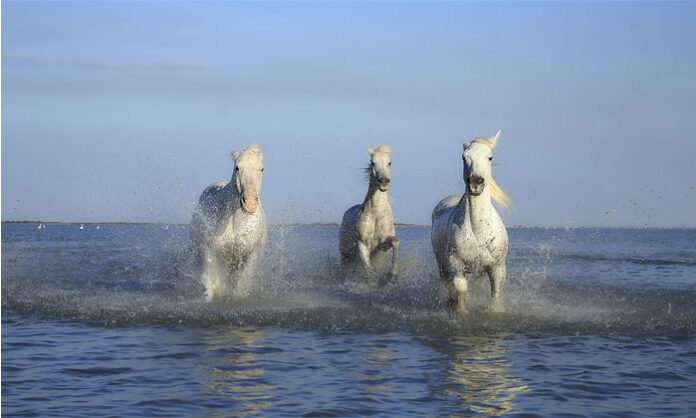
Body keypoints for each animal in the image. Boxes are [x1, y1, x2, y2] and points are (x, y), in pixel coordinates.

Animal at [190, 145, 267, 301]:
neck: (235, 221)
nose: (249, 203)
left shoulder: (251, 254)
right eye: (237, 167)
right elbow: (214, 284)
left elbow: (241, 286)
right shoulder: (211, 252)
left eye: (261, 169)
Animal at [339, 145, 399, 280]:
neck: (376, 213)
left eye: (389, 162)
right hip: (345, 254)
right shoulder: (362, 244)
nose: (383, 181)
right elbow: (368, 269)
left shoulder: (381, 246)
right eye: (373, 162)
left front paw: (392, 274)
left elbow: (395, 241)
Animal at [431, 130, 512, 312]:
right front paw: (461, 311)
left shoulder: (497, 268)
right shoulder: (455, 264)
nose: (475, 182)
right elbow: (460, 288)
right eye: (464, 157)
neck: (478, 229)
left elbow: (495, 294)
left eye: (490, 157)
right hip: (441, 264)